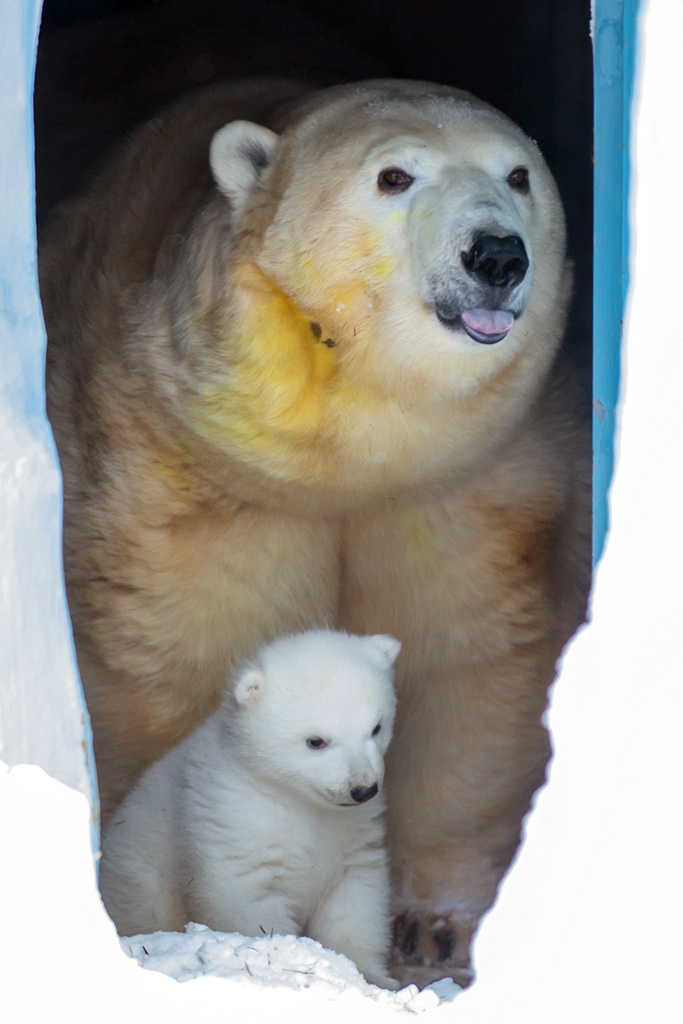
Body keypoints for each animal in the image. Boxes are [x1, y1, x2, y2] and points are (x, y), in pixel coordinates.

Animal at [98, 626, 397, 987]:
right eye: (316, 741)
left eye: (376, 727)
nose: (363, 789)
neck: (292, 796)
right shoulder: (238, 817)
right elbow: (249, 901)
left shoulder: (352, 834)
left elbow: (354, 902)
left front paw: (372, 976)